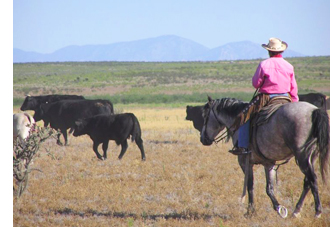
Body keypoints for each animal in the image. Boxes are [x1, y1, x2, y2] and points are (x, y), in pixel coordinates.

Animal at [200, 96, 328, 218]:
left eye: (205, 115)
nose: (203, 138)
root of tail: (314, 110)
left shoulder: (245, 162)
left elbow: (250, 185)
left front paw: (251, 211)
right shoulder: (269, 163)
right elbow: (269, 188)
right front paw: (279, 208)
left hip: (302, 156)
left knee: (312, 179)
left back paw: (317, 212)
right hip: (312, 156)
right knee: (307, 182)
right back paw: (296, 211)